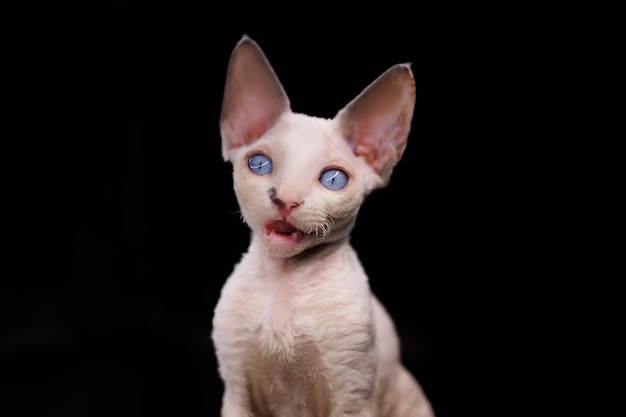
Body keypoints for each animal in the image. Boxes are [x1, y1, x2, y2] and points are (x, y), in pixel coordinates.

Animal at [211, 34, 434, 414]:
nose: (285, 200)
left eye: (333, 179)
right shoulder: (236, 391)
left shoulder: (352, 396)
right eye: (259, 164)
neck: (284, 286)